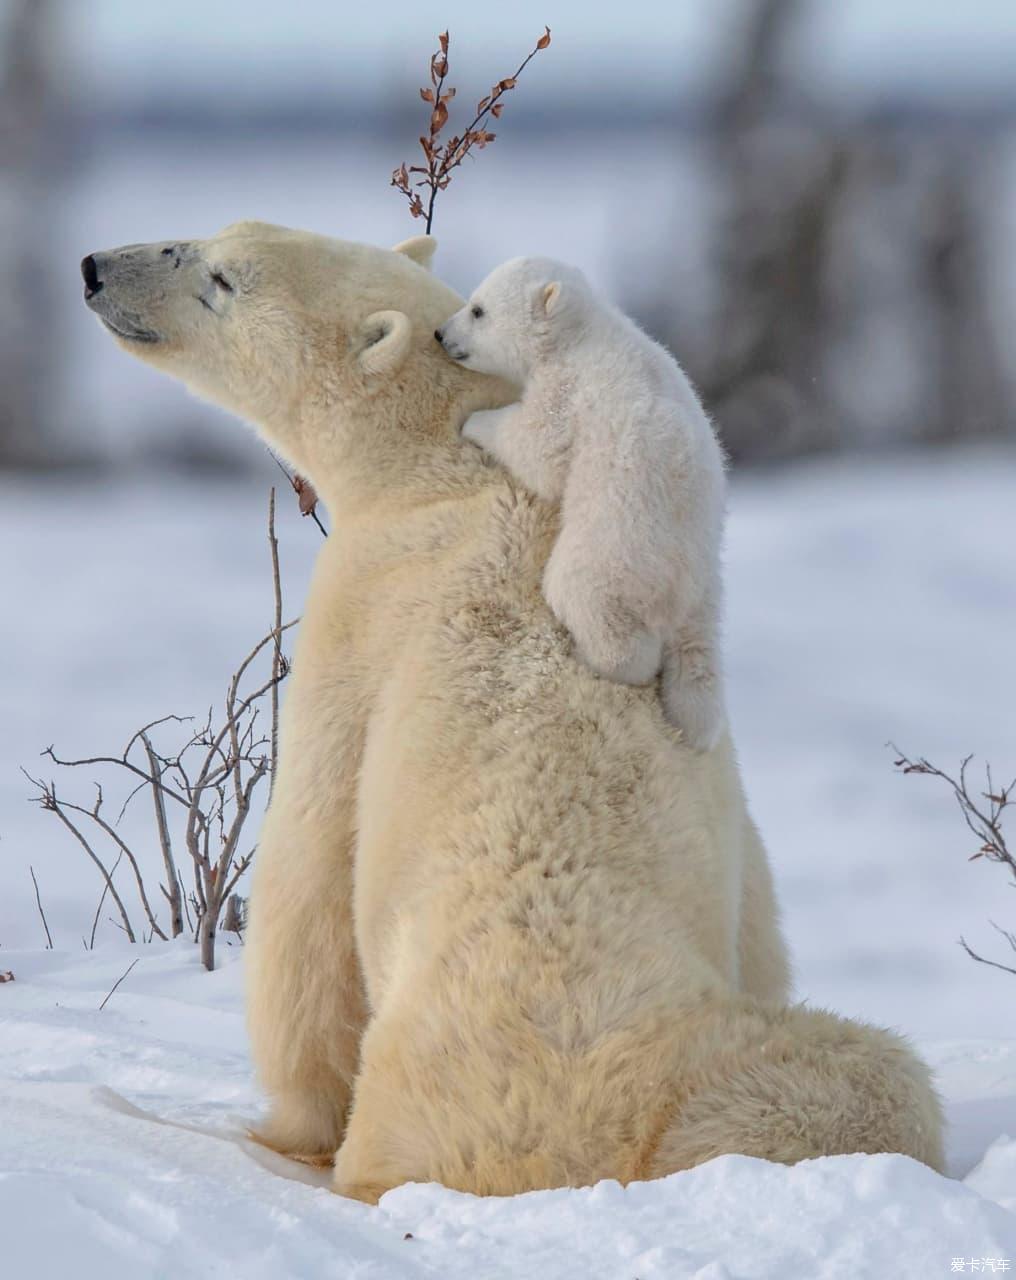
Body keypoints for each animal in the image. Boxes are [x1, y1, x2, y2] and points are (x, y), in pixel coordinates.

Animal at [81, 222, 941, 1198]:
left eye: (220, 277)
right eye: (201, 241)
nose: (98, 270)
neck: (447, 472)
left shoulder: (362, 612)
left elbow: (310, 880)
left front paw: (281, 1126)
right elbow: (755, 904)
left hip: (444, 1073)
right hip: (739, 1063)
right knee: (867, 1082)